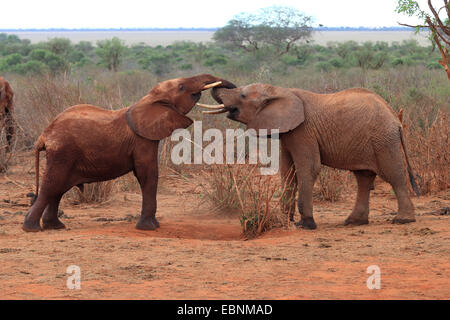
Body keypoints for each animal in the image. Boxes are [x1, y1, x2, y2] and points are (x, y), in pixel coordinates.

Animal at [23, 73, 236, 231]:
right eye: (182, 87)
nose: (222, 87)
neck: (147, 99)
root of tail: (44, 134)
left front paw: (153, 225)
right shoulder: (142, 140)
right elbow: (148, 174)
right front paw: (150, 228)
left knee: (58, 189)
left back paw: (55, 226)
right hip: (63, 152)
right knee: (52, 185)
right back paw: (32, 228)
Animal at [200, 82, 418, 228]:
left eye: (243, 96)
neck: (279, 90)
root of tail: (396, 119)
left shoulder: (303, 132)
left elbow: (308, 169)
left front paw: (305, 224)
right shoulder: (288, 133)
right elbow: (287, 173)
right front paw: (285, 220)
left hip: (383, 140)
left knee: (394, 175)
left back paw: (402, 220)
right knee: (363, 178)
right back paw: (353, 222)